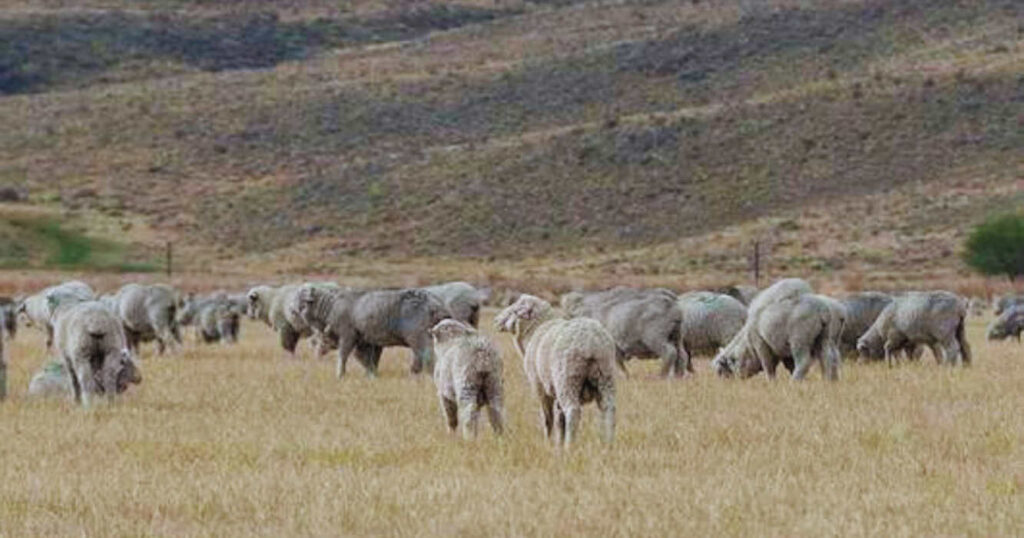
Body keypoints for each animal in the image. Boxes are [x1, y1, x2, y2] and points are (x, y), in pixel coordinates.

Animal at [296, 285, 450, 377]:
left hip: (418, 335)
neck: (330, 306)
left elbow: (343, 355)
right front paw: (371, 376)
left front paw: (340, 375)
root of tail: (435, 305)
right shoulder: (368, 342)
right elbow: (370, 360)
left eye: (302, 301)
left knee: (426, 355)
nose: (295, 311)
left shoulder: (348, 334)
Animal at [495, 294, 616, 448]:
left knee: (573, 412)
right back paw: (608, 444)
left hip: (568, 379)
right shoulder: (555, 390)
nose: (496, 320)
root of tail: (591, 343)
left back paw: (570, 446)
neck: (534, 331)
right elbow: (560, 420)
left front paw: (548, 442)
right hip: (605, 376)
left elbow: (548, 419)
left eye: (515, 310)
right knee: (609, 409)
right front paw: (559, 443)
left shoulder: (540, 388)